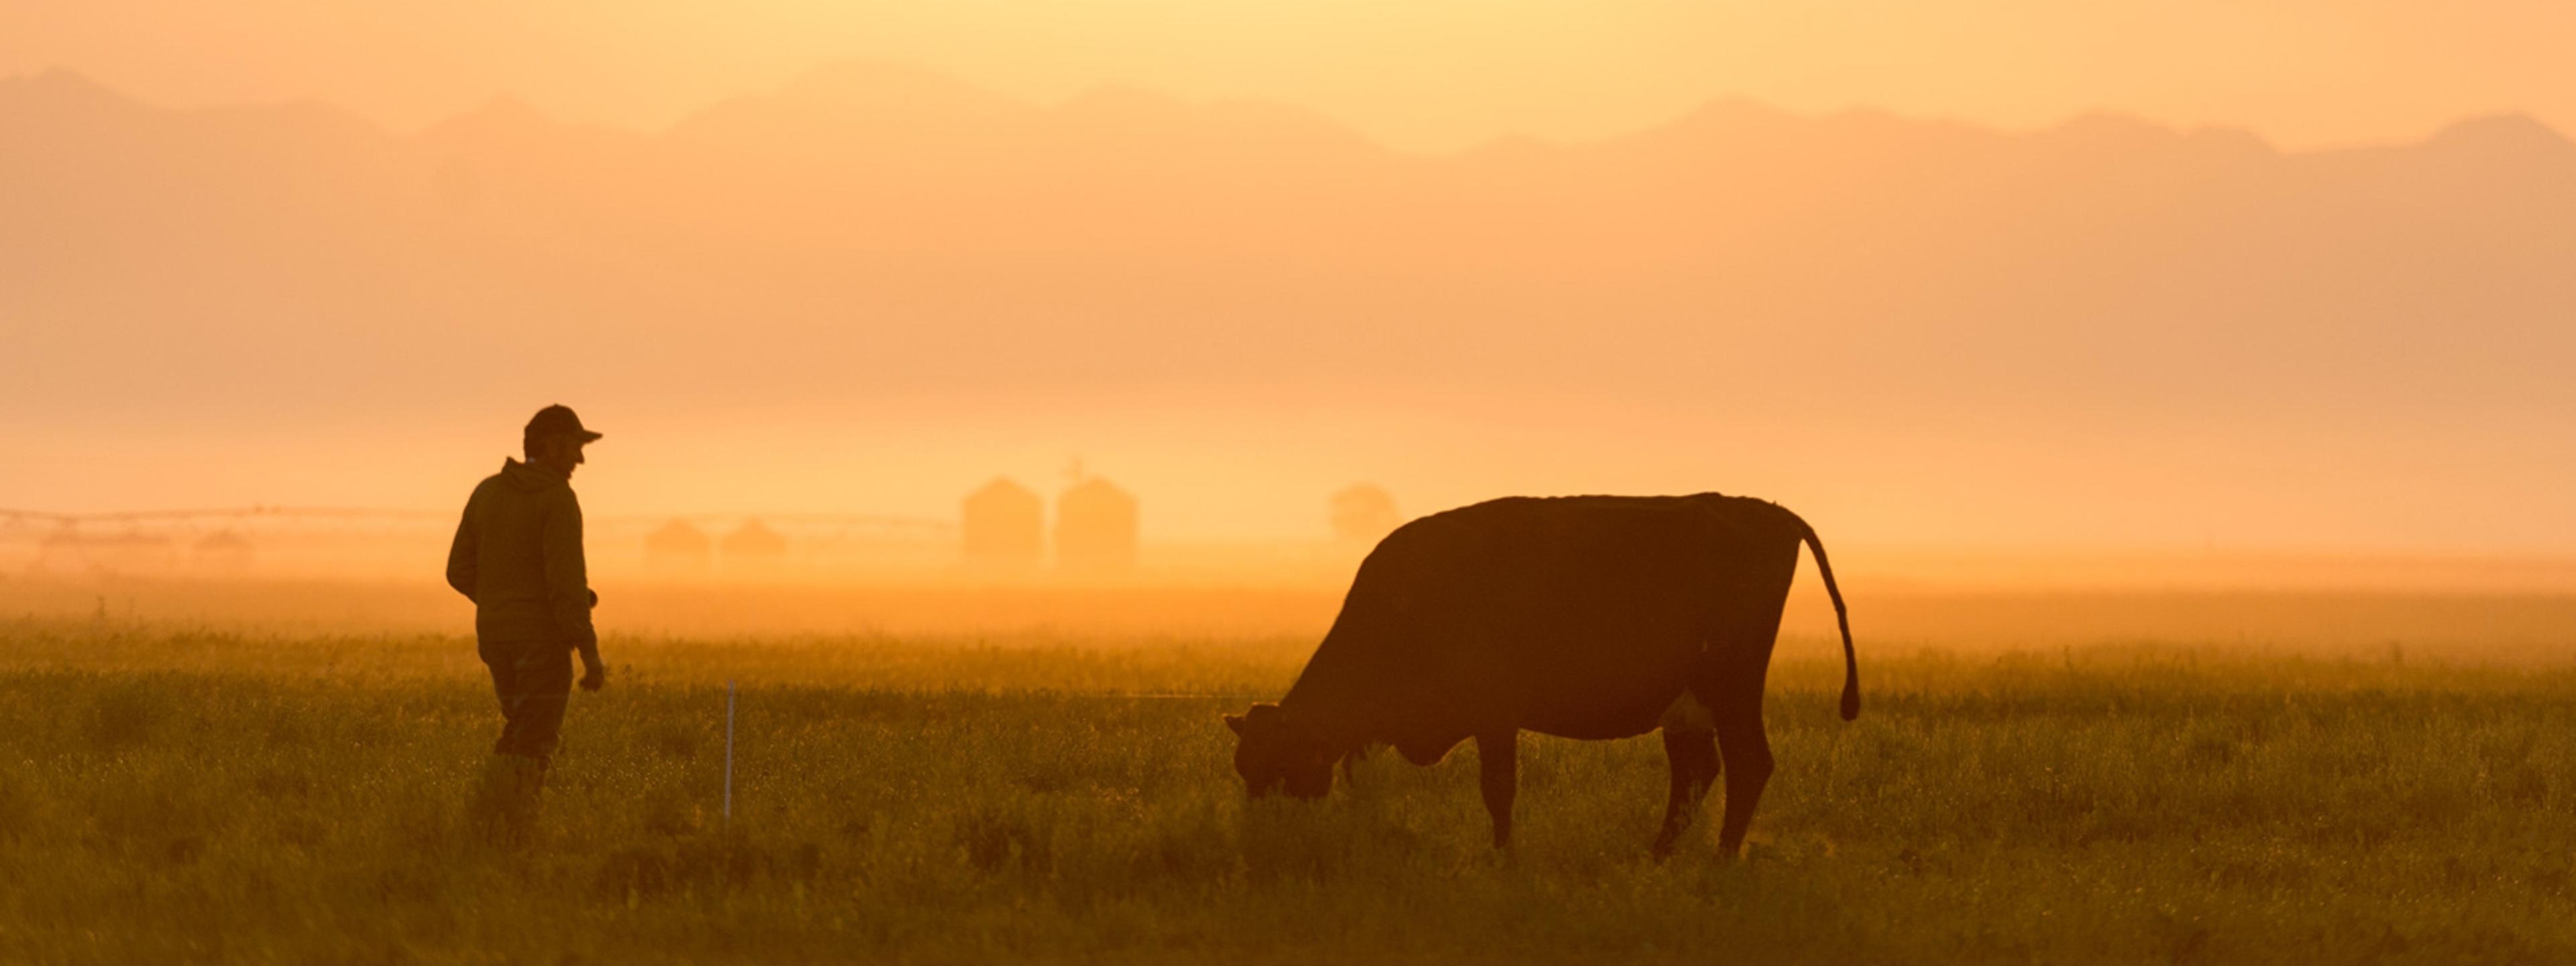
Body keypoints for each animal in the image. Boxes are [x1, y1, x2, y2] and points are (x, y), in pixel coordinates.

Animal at [1224, 493, 1856, 859]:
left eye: (1282, 770)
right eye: (1244, 771)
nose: (1262, 840)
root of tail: (1766, 510)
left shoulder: (1495, 716)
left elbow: (1499, 790)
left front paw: (1502, 859)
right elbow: (1366, 780)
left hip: (1732, 689)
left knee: (1748, 764)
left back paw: (1720, 862)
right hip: (1688, 707)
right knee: (1697, 774)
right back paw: (1657, 857)